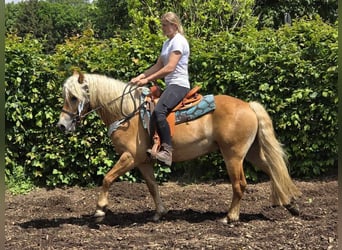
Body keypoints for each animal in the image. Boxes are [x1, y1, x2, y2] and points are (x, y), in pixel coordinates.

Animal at [57, 71, 300, 224]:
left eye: (74, 97)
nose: (62, 125)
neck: (126, 113)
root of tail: (248, 106)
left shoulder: (129, 157)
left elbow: (107, 178)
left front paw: (100, 210)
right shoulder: (143, 161)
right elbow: (152, 186)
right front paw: (159, 213)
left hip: (234, 155)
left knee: (240, 184)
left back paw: (230, 217)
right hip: (252, 152)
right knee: (274, 170)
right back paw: (291, 204)